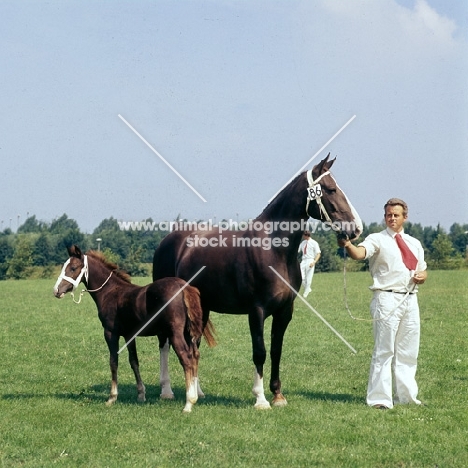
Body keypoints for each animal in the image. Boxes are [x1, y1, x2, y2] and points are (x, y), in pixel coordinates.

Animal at [54, 245, 216, 414]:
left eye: (73, 268)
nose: (56, 290)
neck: (110, 291)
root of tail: (183, 287)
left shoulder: (111, 333)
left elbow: (113, 361)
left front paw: (112, 397)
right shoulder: (129, 335)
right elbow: (134, 362)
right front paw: (141, 394)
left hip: (175, 334)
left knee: (186, 357)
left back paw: (189, 403)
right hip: (188, 333)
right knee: (195, 355)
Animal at [154, 155, 362, 408]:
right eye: (331, 189)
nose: (356, 229)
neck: (273, 248)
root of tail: (168, 241)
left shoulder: (284, 311)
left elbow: (276, 350)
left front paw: (278, 395)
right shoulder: (257, 310)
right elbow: (259, 351)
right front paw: (261, 398)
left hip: (201, 308)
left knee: (195, 345)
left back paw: (197, 391)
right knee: (165, 343)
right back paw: (166, 390)